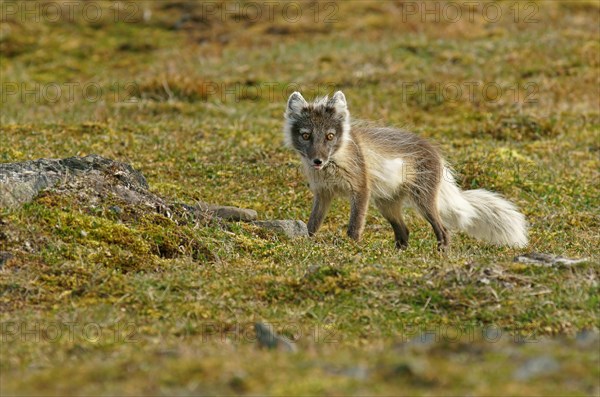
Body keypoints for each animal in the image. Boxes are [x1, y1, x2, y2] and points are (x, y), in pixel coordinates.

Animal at [284, 91, 528, 249]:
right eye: (306, 135)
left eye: (330, 136)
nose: (317, 161)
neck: (334, 163)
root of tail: (435, 151)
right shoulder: (323, 193)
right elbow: (313, 224)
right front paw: (308, 242)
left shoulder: (361, 190)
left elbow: (354, 227)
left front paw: (351, 249)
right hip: (386, 204)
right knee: (404, 232)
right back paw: (399, 254)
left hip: (423, 201)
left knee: (443, 231)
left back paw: (441, 255)